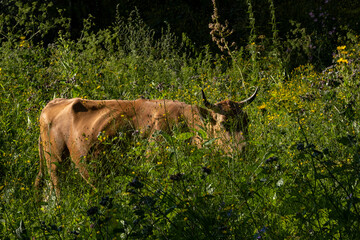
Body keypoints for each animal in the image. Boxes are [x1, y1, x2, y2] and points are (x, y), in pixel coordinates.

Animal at [35, 88, 258, 197]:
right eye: (224, 124)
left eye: (246, 121)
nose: (244, 150)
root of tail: (52, 103)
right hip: (55, 161)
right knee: (58, 189)